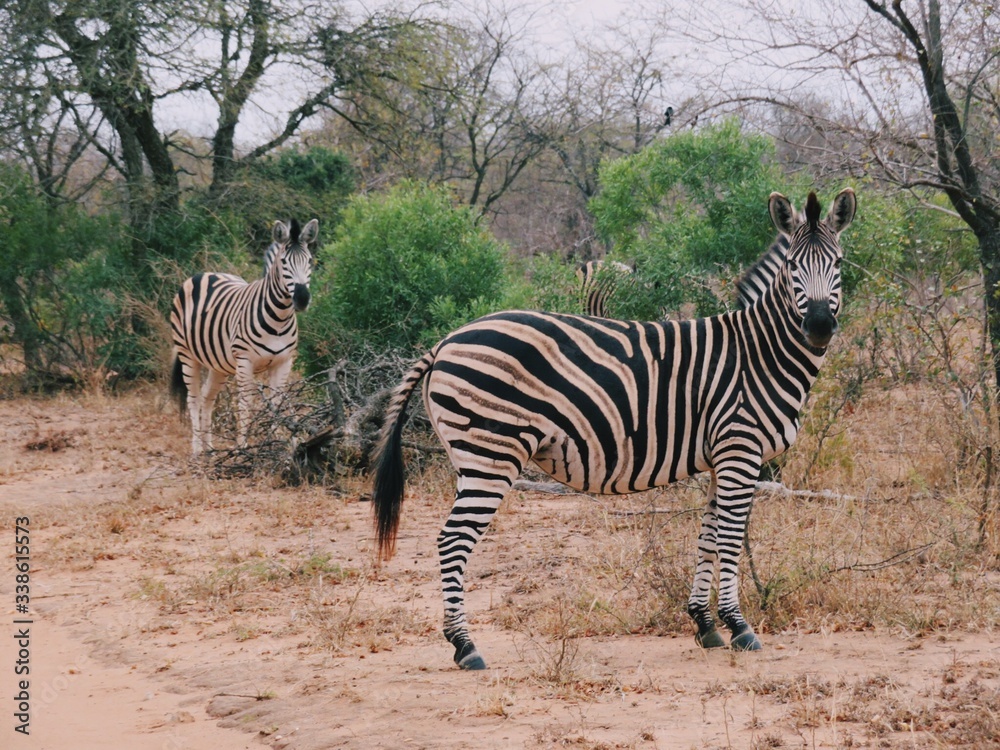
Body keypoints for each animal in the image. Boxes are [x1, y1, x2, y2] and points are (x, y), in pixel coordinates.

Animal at [170, 218, 319, 455]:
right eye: (284, 262)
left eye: (310, 261)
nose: (302, 299)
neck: (279, 318)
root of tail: (206, 273)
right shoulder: (244, 361)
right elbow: (245, 404)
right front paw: (243, 449)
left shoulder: (284, 361)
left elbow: (277, 403)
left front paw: (277, 444)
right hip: (187, 354)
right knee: (193, 398)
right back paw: (197, 450)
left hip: (218, 363)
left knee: (207, 398)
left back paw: (209, 449)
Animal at [372, 189, 856, 670]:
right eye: (792, 265)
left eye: (838, 262)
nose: (818, 327)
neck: (760, 354)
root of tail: (445, 341)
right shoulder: (740, 449)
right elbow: (732, 538)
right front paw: (739, 626)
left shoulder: (720, 456)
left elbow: (709, 537)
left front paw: (705, 624)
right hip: (492, 453)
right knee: (453, 540)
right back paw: (465, 646)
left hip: (468, 457)